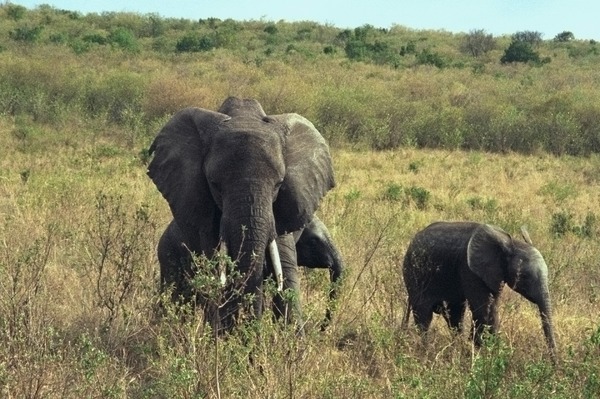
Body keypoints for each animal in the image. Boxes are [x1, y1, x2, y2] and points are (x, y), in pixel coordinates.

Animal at [404, 222, 556, 362]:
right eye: (524, 276)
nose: (555, 365)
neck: (510, 243)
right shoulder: (470, 270)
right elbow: (484, 311)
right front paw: (486, 354)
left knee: (455, 316)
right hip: (414, 273)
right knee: (424, 316)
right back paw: (425, 351)